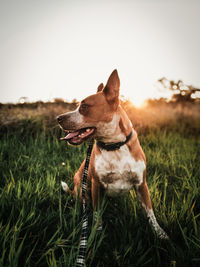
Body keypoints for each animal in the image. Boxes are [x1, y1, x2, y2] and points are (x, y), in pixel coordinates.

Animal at [57, 69, 169, 241]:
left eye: (84, 106)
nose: (58, 118)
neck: (114, 146)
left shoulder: (141, 184)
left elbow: (150, 213)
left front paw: (159, 233)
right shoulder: (96, 185)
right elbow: (97, 215)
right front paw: (96, 235)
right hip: (82, 189)